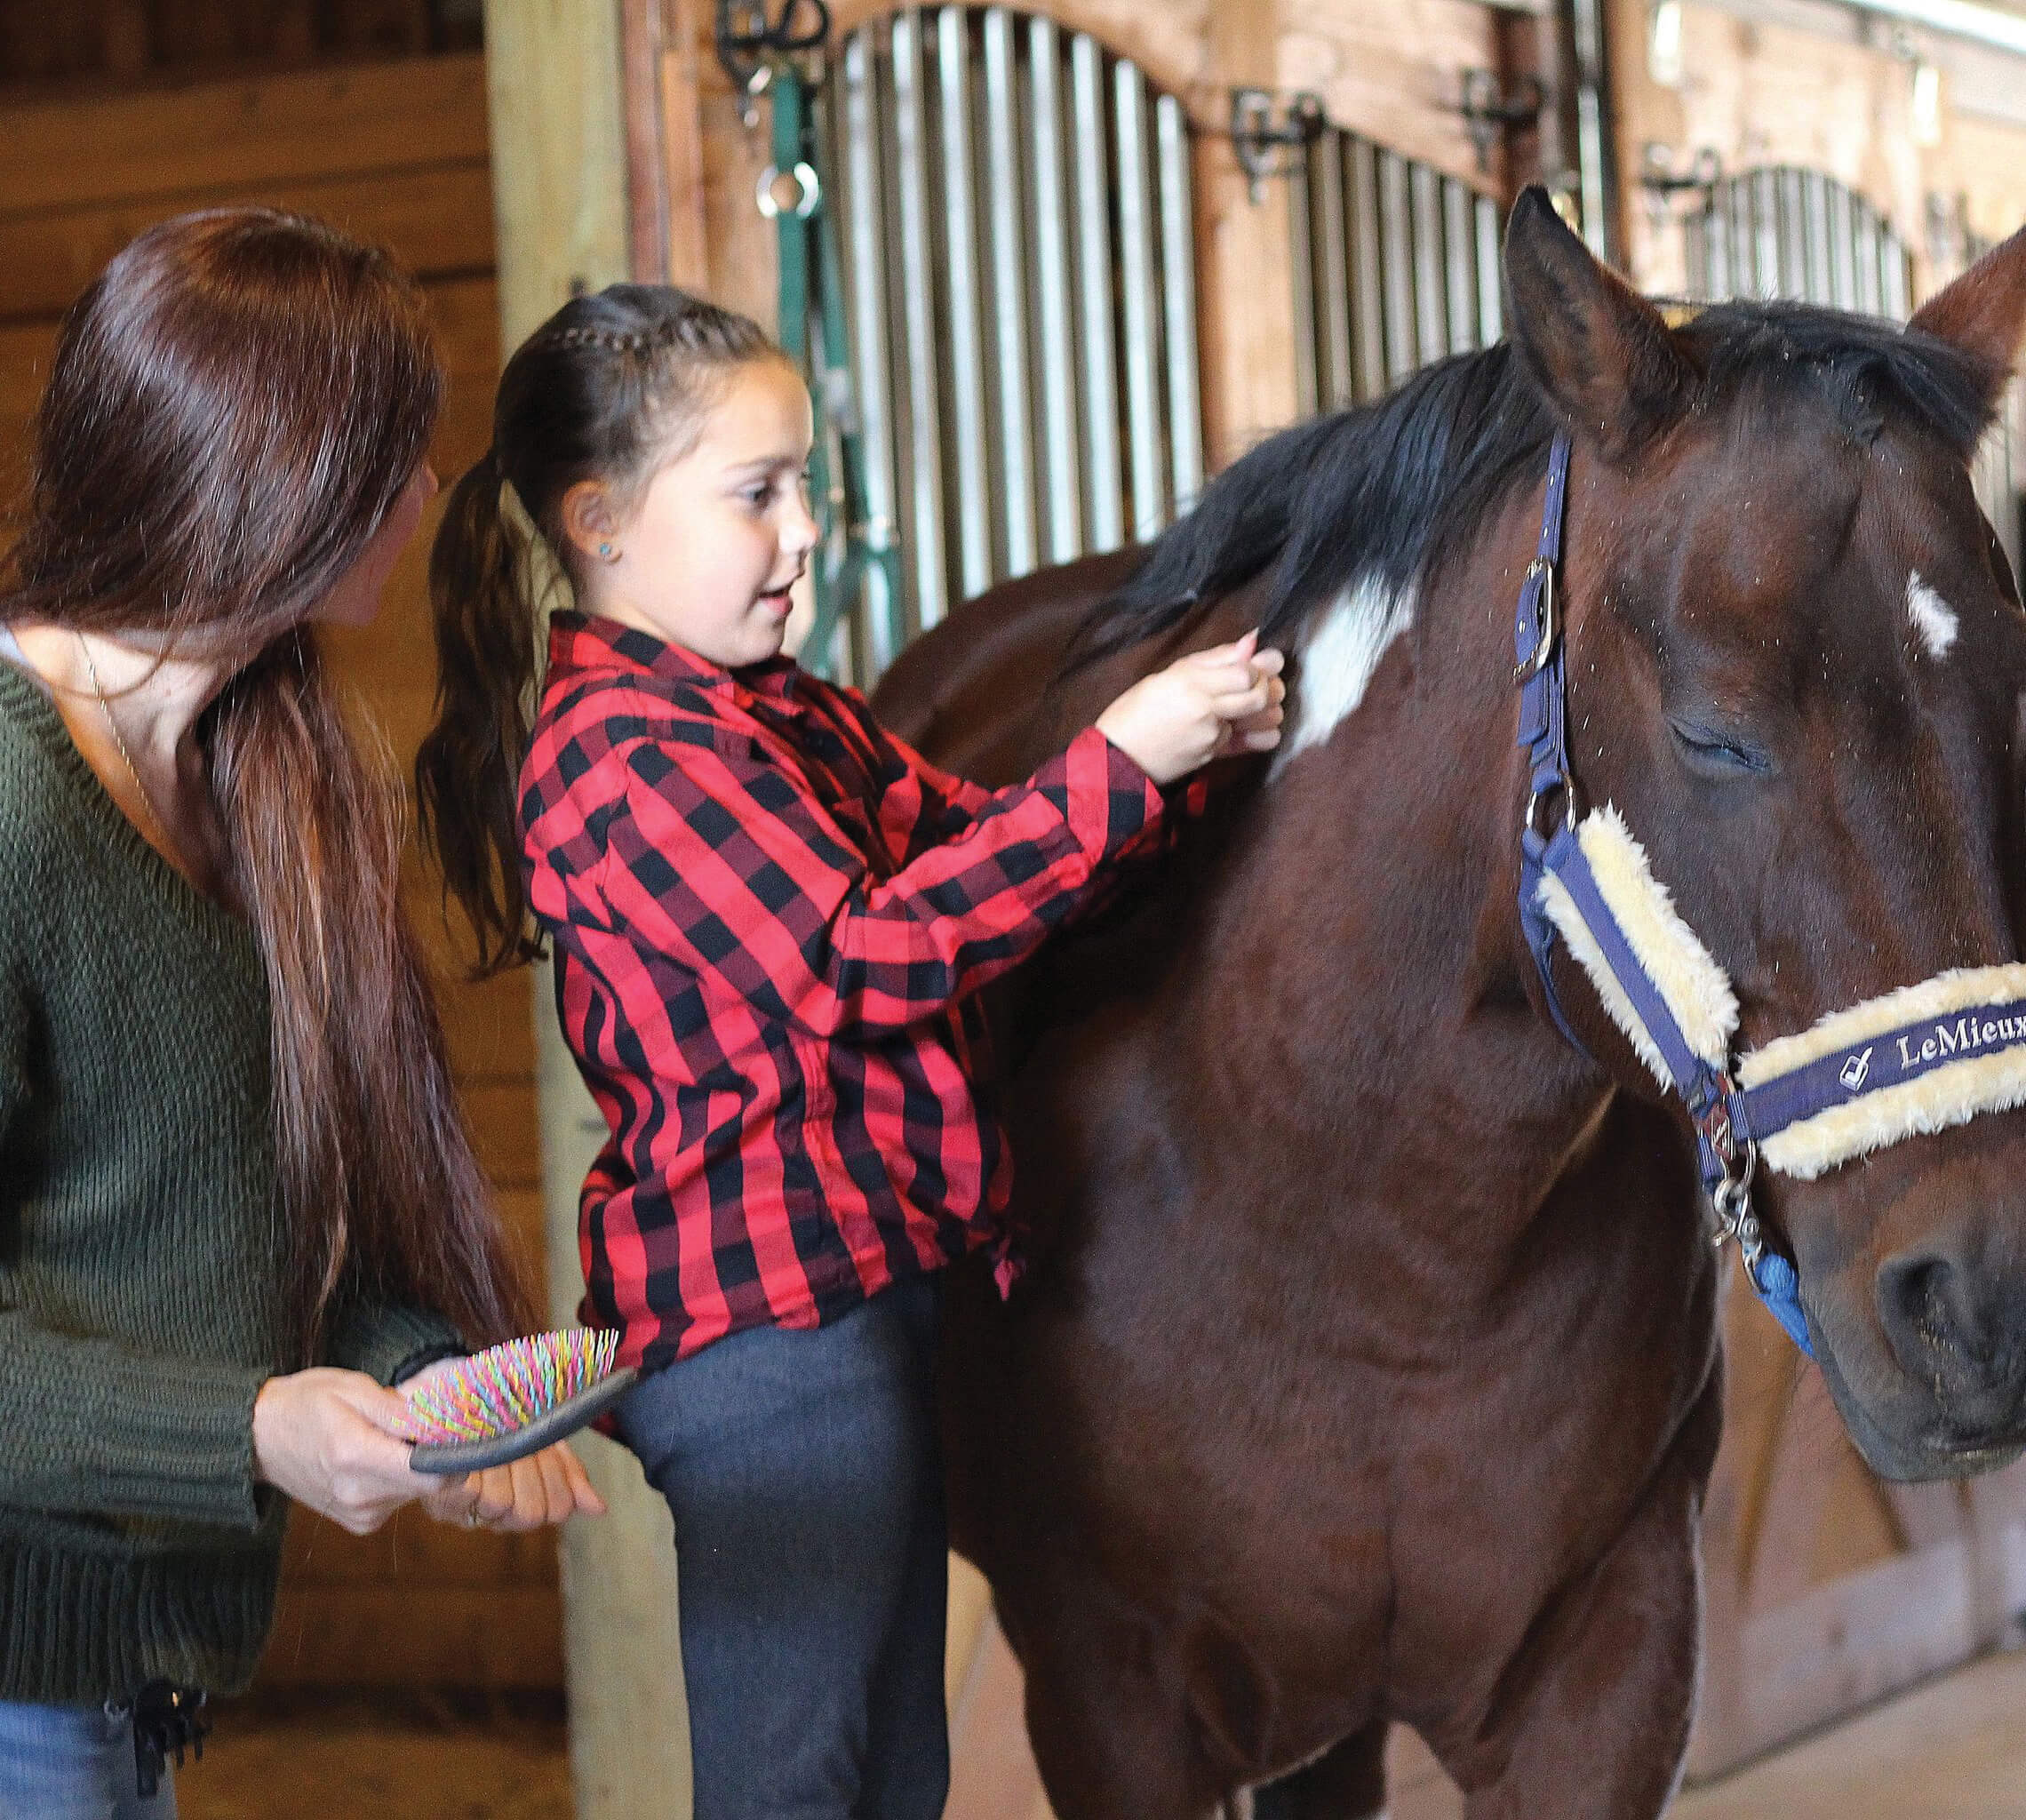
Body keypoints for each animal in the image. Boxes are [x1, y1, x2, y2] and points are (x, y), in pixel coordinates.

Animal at [879, 191, 2026, 1808]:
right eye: (1714, 732)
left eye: (2015, 697)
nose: (1989, 1301)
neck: (1366, 1223)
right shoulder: (1113, 1704)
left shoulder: (1608, 1672)